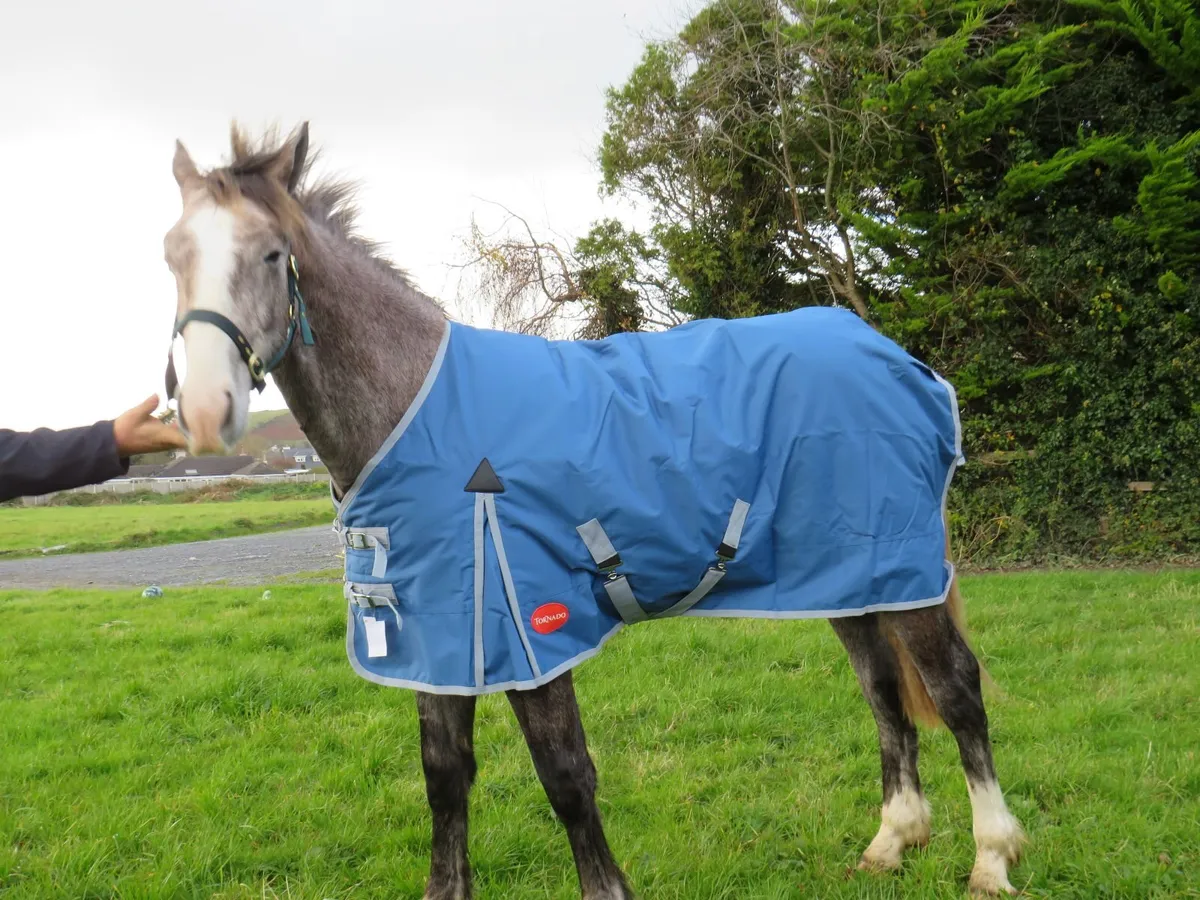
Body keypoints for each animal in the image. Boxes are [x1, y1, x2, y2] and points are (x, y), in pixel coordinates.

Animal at [161, 122, 1026, 898]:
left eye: (273, 254)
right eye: (172, 254)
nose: (204, 410)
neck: (421, 413)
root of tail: (898, 360)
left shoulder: (531, 627)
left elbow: (565, 774)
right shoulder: (439, 636)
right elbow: (445, 777)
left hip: (903, 572)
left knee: (956, 690)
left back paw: (992, 860)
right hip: (846, 577)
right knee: (883, 691)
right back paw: (892, 842)